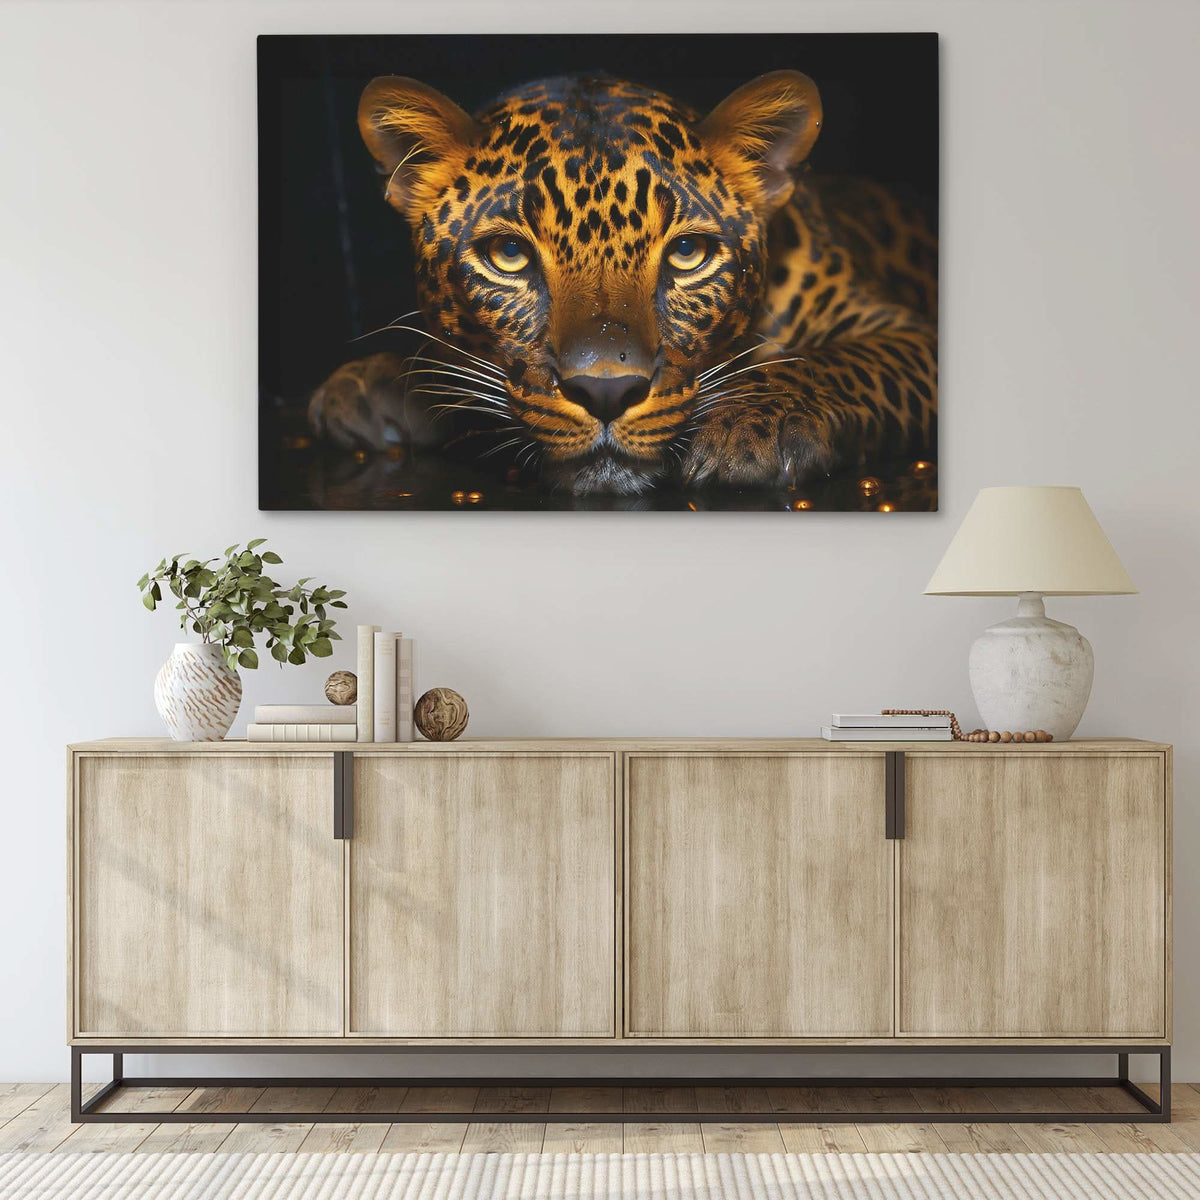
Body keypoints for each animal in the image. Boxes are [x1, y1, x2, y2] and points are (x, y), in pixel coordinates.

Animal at [307, 70, 937, 497]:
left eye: (687, 253)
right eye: (509, 255)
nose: (606, 392)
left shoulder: (910, 331)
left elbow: (844, 361)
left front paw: (754, 422)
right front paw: (373, 383)